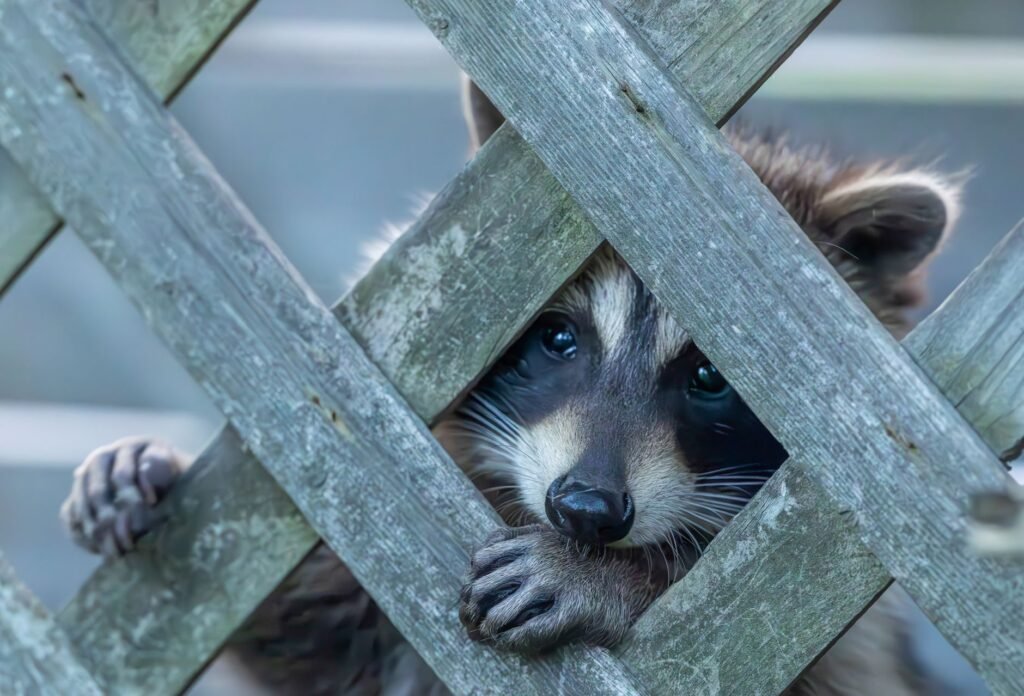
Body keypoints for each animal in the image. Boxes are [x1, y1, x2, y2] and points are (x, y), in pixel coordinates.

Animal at [60, 80, 963, 695]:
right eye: (558, 340)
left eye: (711, 376)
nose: (586, 510)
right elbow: (291, 636)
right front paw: (147, 468)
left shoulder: (845, 649)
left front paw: (623, 582)